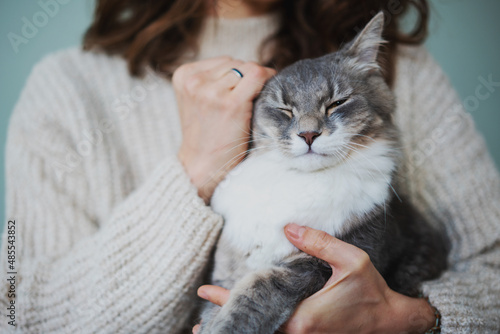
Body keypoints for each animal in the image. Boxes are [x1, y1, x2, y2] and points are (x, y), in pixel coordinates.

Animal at [199, 13, 450, 334]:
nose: (308, 134)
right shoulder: (225, 271)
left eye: (336, 103)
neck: (300, 182)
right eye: (284, 109)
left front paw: (229, 324)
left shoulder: (321, 265)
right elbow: (214, 305)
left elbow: (260, 288)